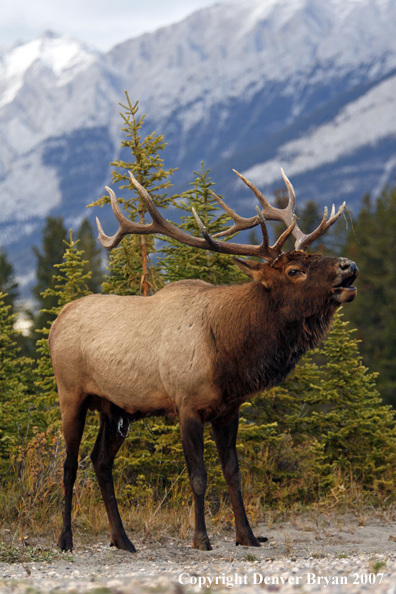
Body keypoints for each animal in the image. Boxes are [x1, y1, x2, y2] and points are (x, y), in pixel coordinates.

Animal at [48, 166, 358, 552]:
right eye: (294, 271)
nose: (348, 265)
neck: (228, 355)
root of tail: (56, 322)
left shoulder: (229, 410)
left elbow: (234, 474)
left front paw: (247, 536)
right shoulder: (186, 404)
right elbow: (198, 476)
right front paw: (201, 538)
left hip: (115, 408)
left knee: (101, 462)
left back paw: (123, 540)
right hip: (71, 394)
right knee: (69, 465)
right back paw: (65, 539)